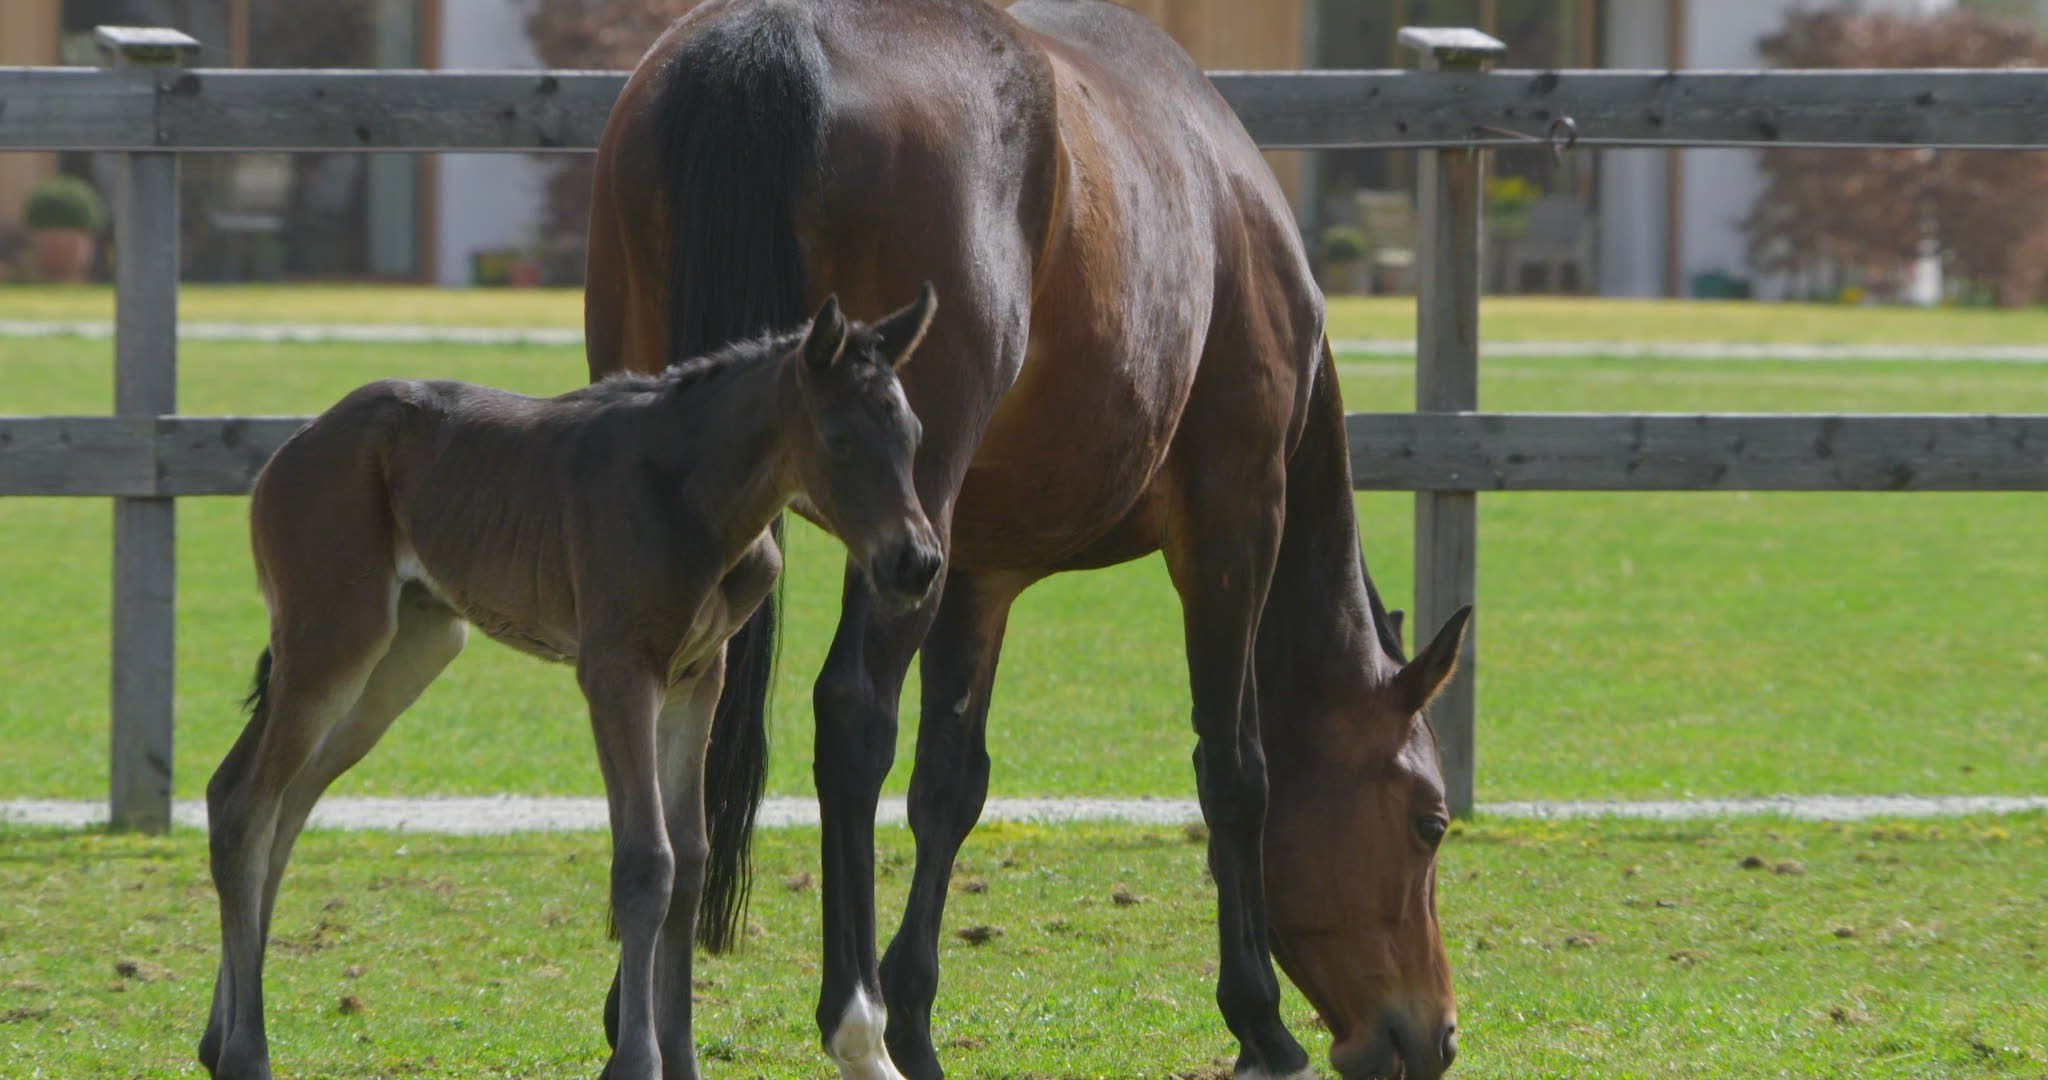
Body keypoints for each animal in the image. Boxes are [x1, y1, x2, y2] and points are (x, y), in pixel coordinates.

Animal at [196, 291, 945, 1080]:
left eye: (914, 435)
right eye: (839, 437)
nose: (917, 562)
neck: (693, 496)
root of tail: (291, 448)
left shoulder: (698, 675)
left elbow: (692, 859)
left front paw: (681, 1059)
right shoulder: (617, 669)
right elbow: (648, 860)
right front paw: (637, 1061)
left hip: (406, 652)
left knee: (274, 802)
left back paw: (218, 1039)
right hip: (334, 636)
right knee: (247, 805)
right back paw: (246, 1051)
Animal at [587, 2, 1473, 1078]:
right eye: (1428, 824)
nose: (1433, 1033)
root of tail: (777, 37)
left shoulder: (977, 566)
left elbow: (949, 785)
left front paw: (918, 1015)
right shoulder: (1234, 517)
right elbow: (1235, 767)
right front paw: (1259, 1021)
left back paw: (653, 1020)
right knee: (852, 714)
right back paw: (854, 1021)